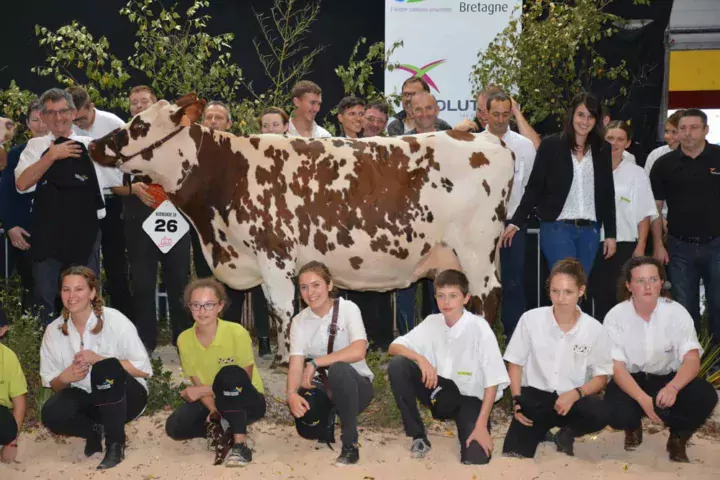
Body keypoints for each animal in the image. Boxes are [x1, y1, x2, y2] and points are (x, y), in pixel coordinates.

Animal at [90, 95, 516, 362]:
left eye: (140, 124)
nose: (94, 145)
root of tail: (489, 139)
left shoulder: (274, 252)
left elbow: (281, 308)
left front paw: (282, 358)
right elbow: (275, 307)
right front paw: (280, 353)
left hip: (477, 249)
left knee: (489, 296)